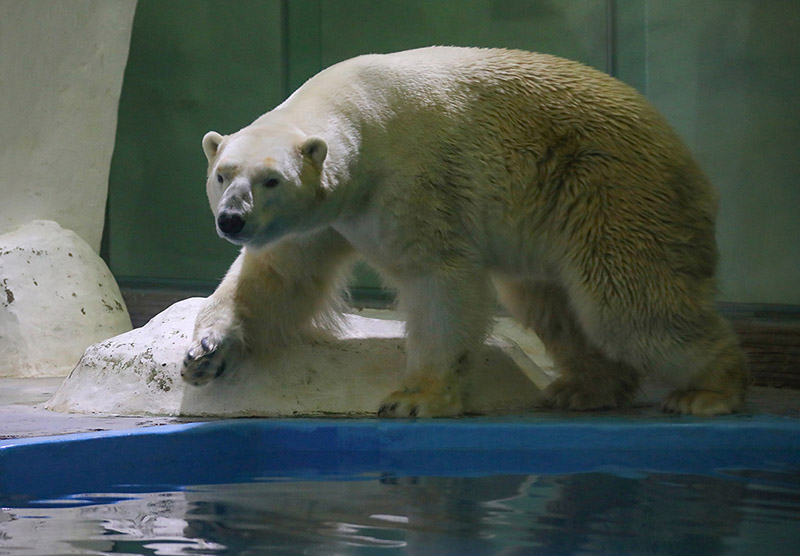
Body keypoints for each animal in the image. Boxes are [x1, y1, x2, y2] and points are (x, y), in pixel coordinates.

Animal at [183, 44, 752, 416]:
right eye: (223, 174)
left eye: (271, 179)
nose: (232, 219)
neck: (363, 108)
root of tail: (687, 160)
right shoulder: (328, 215)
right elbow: (278, 276)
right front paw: (205, 353)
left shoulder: (414, 180)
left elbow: (437, 278)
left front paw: (414, 398)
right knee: (549, 304)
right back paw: (584, 388)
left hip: (612, 189)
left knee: (627, 304)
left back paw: (709, 390)